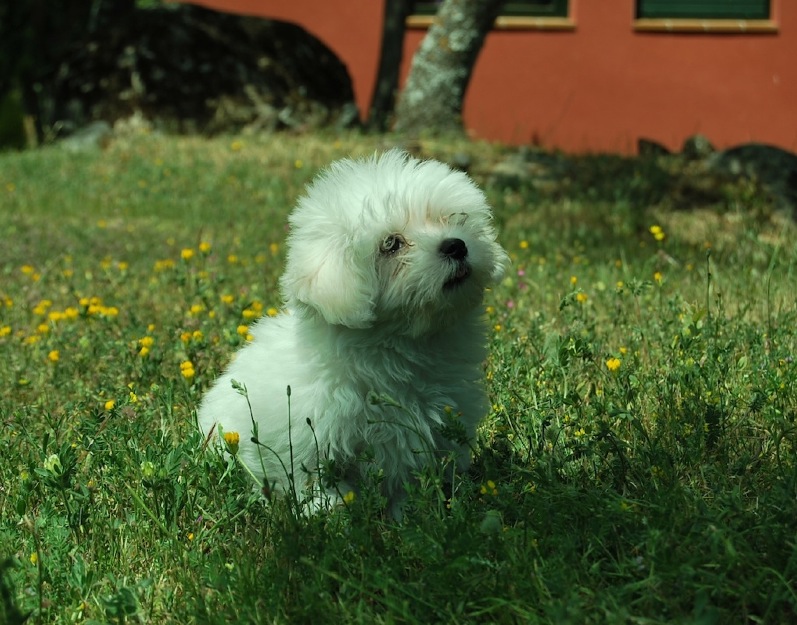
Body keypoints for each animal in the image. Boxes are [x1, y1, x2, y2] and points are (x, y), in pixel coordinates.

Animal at [199, 149, 510, 516]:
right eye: (391, 244)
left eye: (455, 218)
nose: (456, 246)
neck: (404, 348)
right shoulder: (310, 437)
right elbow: (315, 478)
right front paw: (329, 513)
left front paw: (412, 514)